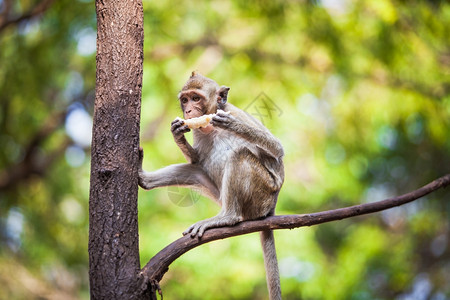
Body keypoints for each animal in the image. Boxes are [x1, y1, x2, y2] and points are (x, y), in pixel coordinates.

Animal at [138, 71, 284, 298]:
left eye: (196, 98)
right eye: (184, 100)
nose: (188, 110)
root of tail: (271, 209)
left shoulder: (237, 113)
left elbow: (276, 150)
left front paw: (231, 125)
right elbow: (197, 161)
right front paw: (177, 134)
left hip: (262, 195)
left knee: (239, 154)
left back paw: (227, 217)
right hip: (218, 194)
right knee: (197, 171)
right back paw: (144, 179)